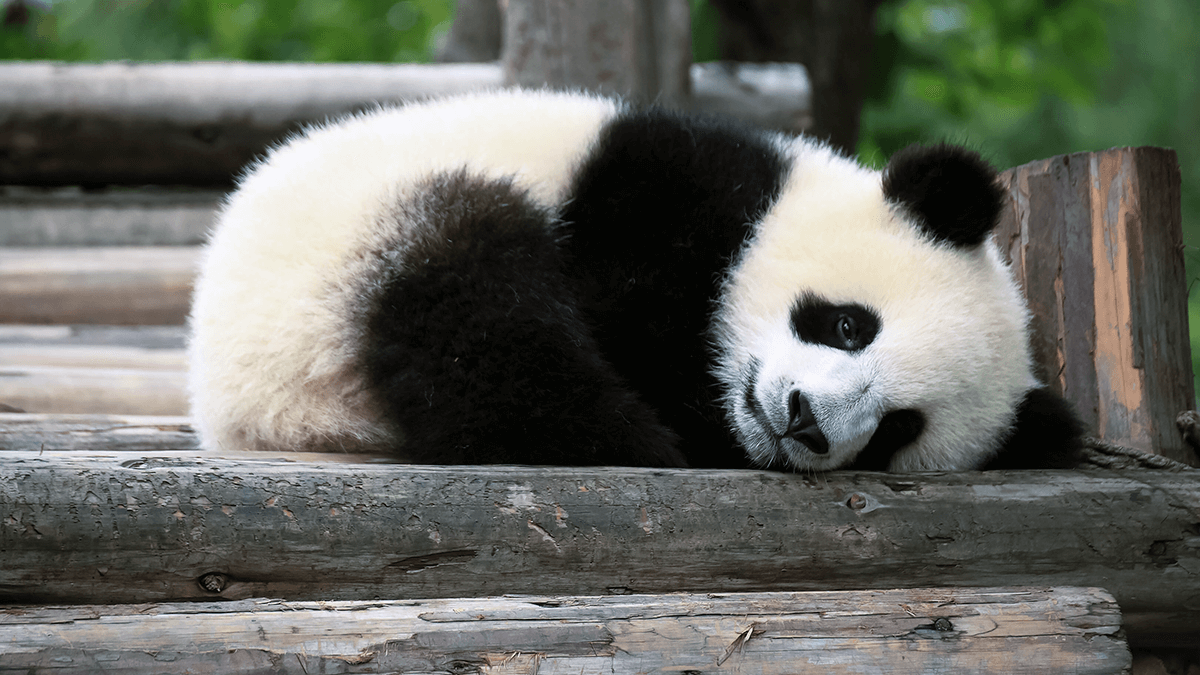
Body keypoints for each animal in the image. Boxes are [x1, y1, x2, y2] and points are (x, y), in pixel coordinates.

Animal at [187, 89, 1084, 472]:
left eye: (899, 427)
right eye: (848, 323)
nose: (803, 422)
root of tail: (233, 408)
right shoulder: (661, 196)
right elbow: (622, 307)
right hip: (342, 259)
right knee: (477, 310)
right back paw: (630, 436)